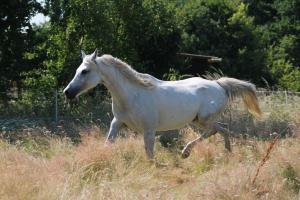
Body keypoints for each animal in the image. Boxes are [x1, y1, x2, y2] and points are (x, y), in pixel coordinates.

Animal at [64, 50, 262, 159]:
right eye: (77, 70)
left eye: (85, 71)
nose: (68, 92)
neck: (131, 94)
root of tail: (220, 85)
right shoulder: (117, 122)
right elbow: (109, 142)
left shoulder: (149, 130)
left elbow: (149, 154)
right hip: (196, 121)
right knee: (222, 129)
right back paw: (226, 152)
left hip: (204, 120)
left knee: (216, 130)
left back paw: (186, 152)